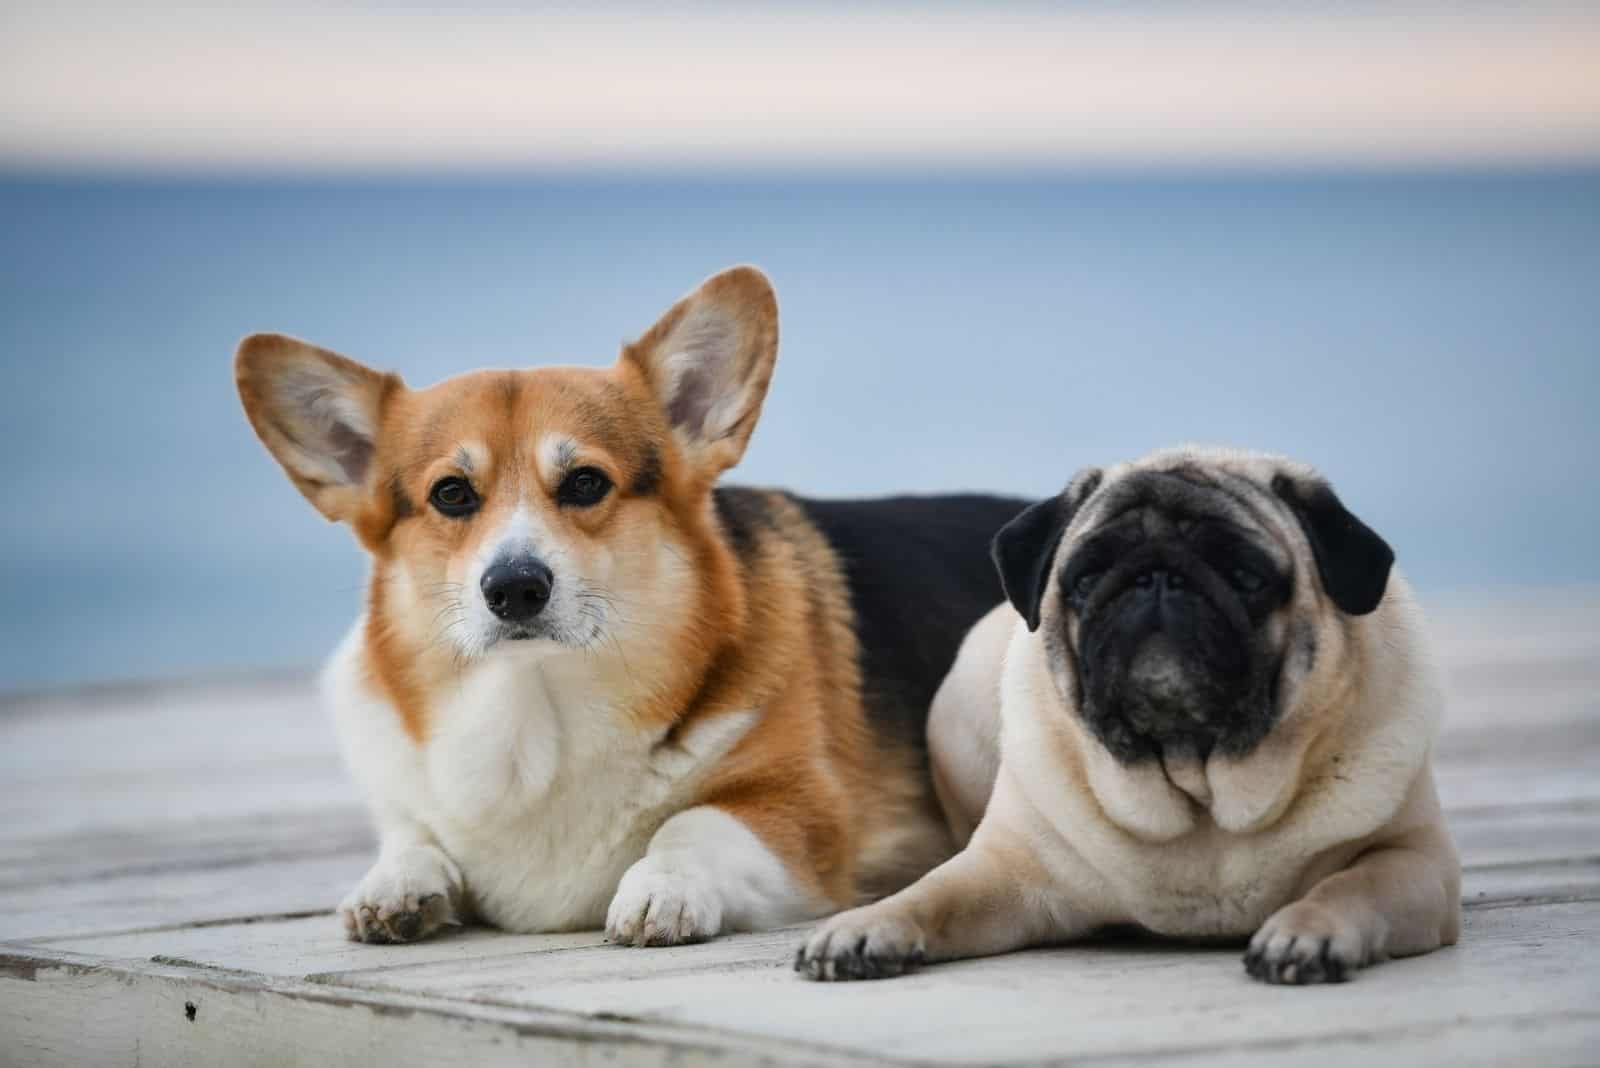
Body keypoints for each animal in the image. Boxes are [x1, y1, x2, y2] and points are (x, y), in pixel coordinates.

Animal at [236, 265, 1024, 940]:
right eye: (451, 494)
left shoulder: (800, 812)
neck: (536, 712)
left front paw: (661, 888)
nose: (514, 587)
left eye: (585, 483)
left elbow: (691, 824)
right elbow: (412, 835)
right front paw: (394, 884)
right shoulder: (406, 795)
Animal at [793, 447, 1459, 984]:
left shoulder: (1411, 859)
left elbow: (1349, 884)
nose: (1157, 577)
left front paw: (1307, 932)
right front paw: (867, 926)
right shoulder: (1006, 871)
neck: (1200, 789)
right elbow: (934, 893)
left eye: (1246, 576)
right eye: (1086, 578)